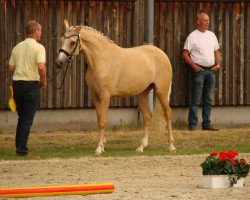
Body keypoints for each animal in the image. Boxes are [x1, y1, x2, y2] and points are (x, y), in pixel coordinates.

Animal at [55, 19, 176, 154]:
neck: (101, 59)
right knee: (148, 117)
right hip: (142, 94)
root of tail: (163, 54)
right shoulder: (95, 96)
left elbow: (103, 121)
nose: (58, 62)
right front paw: (102, 145)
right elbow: (99, 119)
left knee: (168, 114)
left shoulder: (105, 95)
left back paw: (171, 145)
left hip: (161, 92)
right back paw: (141, 147)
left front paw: (99, 148)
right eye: (62, 39)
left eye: (72, 42)